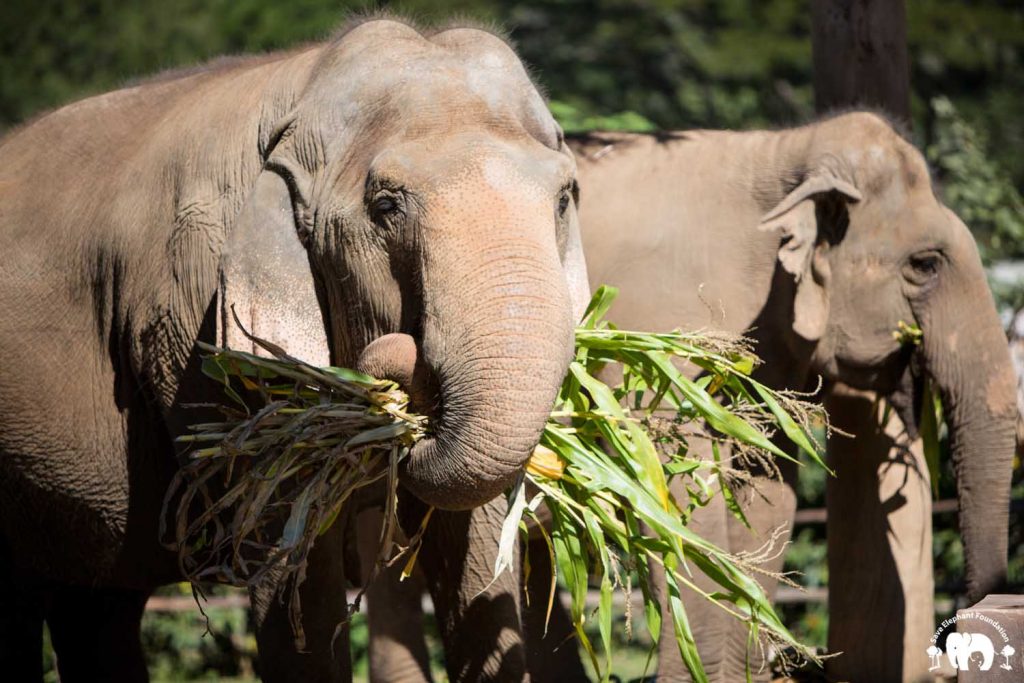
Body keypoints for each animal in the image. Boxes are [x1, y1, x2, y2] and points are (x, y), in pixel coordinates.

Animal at [0, 15, 589, 683]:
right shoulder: (195, 322)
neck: (303, 82)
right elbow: (291, 557)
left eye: (564, 198)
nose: (403, 365)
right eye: (385, 207)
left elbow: (474, 545)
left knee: (96, 605)